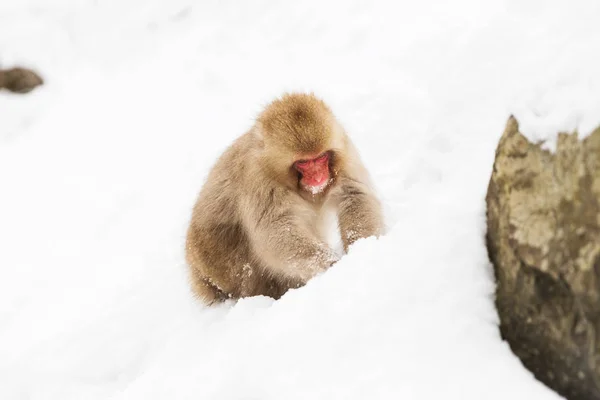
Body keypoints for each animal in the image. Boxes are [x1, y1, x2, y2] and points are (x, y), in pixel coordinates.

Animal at [186, 93, 384, 304]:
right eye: (303, 163)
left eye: (321, 158)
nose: (318, 178)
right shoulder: (258, 178)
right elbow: (276, 228)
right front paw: (331, 264)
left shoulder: (344, 150)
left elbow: (354, 194)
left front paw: (361, 250)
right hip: (214, 262)